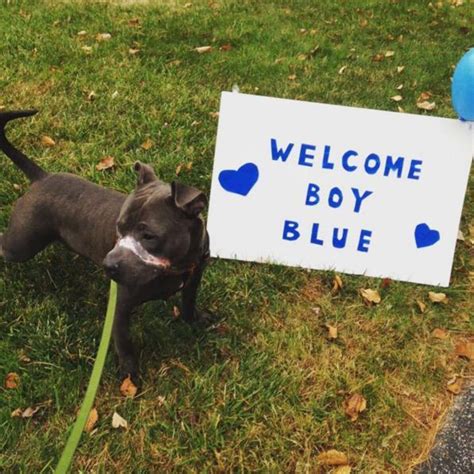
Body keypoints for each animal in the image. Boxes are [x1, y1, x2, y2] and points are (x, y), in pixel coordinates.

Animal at [0, 111, 211, 386]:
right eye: (118, 227)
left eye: (149, 236)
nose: (107, 265)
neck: (177, 266)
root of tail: (41, 177)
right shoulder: (119, 307)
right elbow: (124, 343)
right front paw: (130, 375)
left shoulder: (195, 277)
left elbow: (188, 301)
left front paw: (194, 321)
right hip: (20, 246)